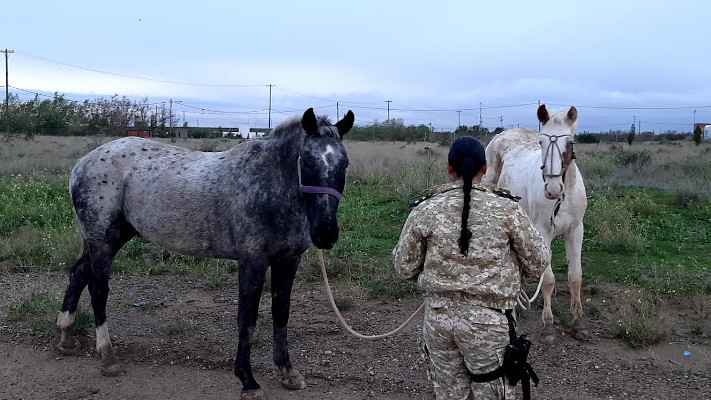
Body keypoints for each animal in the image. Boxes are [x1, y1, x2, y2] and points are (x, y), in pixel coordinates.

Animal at [55, 108, 354, 398]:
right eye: (307, 162)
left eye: (344, 164)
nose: (326, 233)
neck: (269, 183)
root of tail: (82, 164)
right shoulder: (253, 262)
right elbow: (247, 318)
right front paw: (248, 381)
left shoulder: (288, 261)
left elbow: (281, 314)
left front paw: (288, 373)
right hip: (103, 241)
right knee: (98, 290)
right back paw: (108, 357)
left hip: (111, 238)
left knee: (78, 274)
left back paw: (67, 337)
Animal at [484, 104, 588, 342]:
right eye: (541, 143)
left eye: (570, 143)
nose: (553, 189)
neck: (562, 199)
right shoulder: (543, 233)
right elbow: (548, 280)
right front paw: (548, 326)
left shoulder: (576, 231)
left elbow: (575, 277)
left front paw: (578, 323)